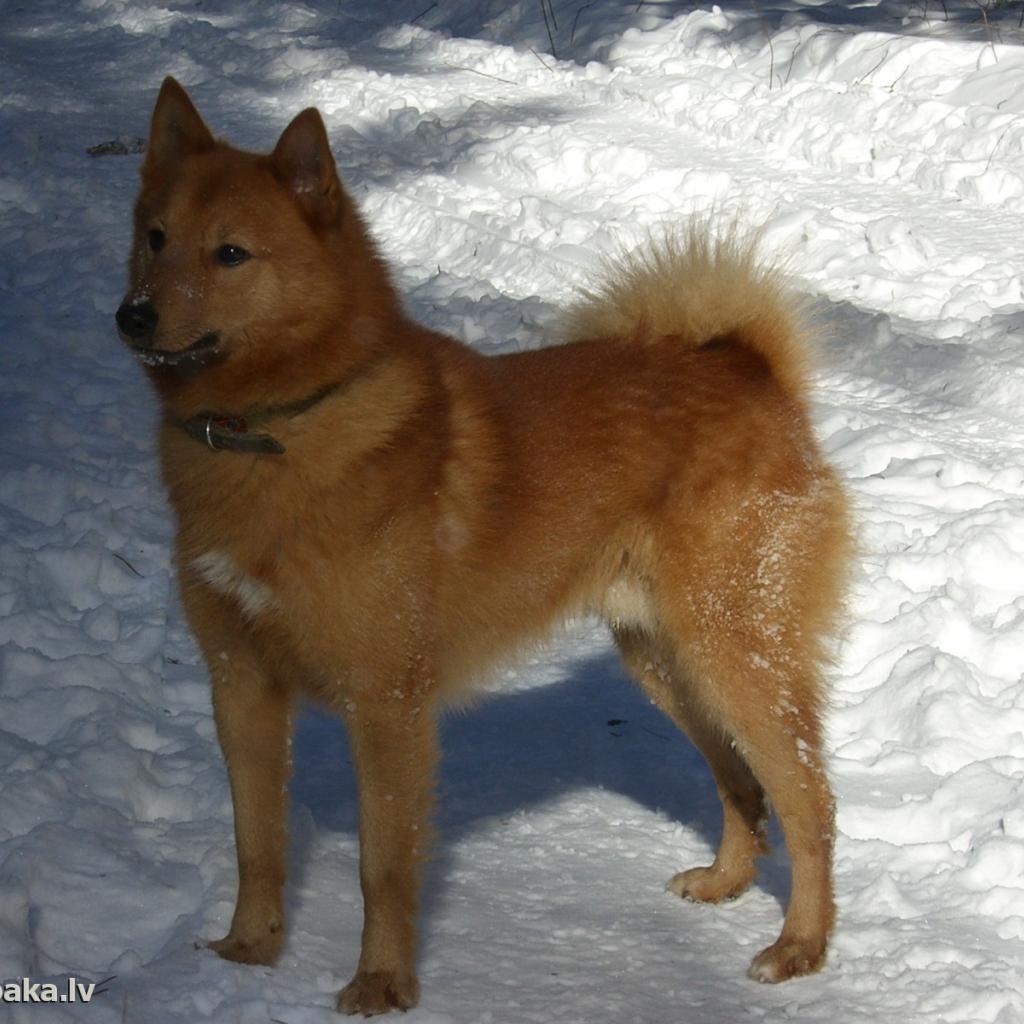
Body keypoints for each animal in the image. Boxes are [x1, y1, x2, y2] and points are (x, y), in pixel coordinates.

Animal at [117, 77, 851, 1016]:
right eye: (155, 237)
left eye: (231, 254)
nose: (133, 316)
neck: (277, 429)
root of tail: (749, 368)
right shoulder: (240, 682)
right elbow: (258, 842)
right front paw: (248, 953)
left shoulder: (386, 703)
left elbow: (383, 867)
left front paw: (382, 984)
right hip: (665, 659)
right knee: (742, 784)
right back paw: (724, 883)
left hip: (735, 653)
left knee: (808, 801)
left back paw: (800, 946)